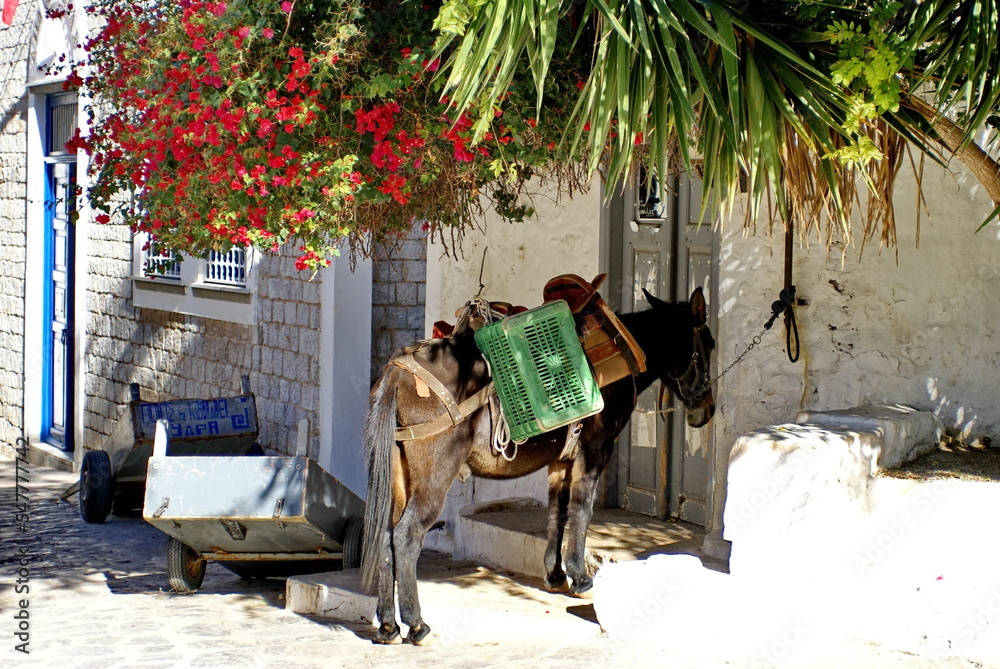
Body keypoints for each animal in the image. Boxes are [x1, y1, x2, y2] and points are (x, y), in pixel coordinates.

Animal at [360, 287, 716, 645]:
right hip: (433, 478)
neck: (621, 345)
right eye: (710, 344)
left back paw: (388, 626)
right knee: (407, 536)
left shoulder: (561, 460)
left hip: (398, 478)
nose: (707, 410)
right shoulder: (596, 449)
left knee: (386, 536)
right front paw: (580, 578)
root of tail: (398, 372)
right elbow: (581, 508)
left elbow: (557, 513)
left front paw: (556, 574)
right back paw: (416, 624)